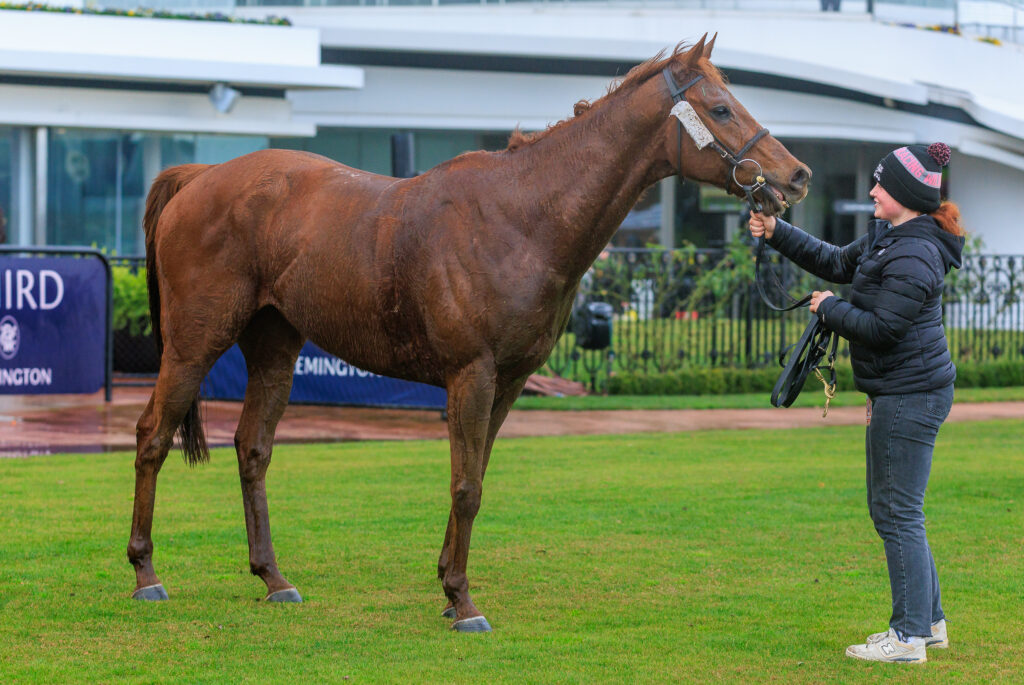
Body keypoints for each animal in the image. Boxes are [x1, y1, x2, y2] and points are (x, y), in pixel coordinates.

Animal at [127, 34, 810, 632]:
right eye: (720, 107)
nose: (797, 176)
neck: (520, 218)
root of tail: (200, 176)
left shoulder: (507, 382)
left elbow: (474, 478)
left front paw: (448, 583)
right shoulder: (471, 377)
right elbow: (465, 487)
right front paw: (463, 601)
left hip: (274, 345)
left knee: (253, 449)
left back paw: (273, 578)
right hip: (194, 343)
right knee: (152, 436)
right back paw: (146, 574)